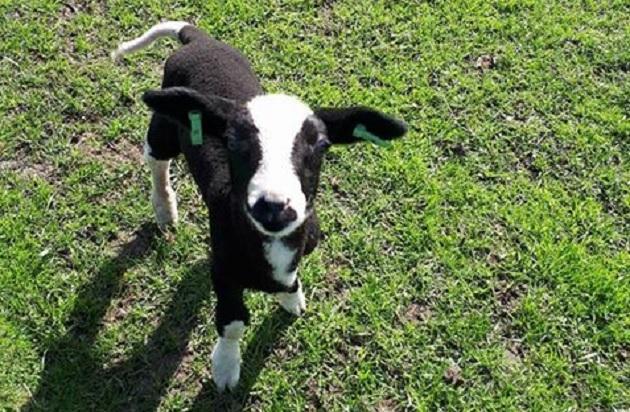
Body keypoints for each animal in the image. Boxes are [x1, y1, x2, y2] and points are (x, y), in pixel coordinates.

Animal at [113, 20, 410, 392]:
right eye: (233, 142)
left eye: (321, 145)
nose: (274, 206)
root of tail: (195, 37)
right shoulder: (224, 271)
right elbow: (233, 323)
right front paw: (226, 368)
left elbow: (290, 280)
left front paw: (292, 299)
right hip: (165, 126)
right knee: (155, 158)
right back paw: (165, 209)